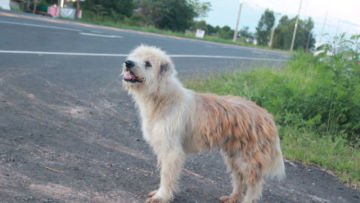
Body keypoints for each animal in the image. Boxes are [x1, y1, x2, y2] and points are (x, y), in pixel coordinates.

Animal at [122, 45, 286, 202]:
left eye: (148, 63)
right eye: (135, 56)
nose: (128, 63)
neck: (162, 97)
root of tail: (267, 116)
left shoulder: (172, 151)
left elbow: (167, 176)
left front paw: (161, 196)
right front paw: (160, 193)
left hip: (247, 160)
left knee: (254, 186)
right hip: (234, 157)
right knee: (239, 179)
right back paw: (232, 197)